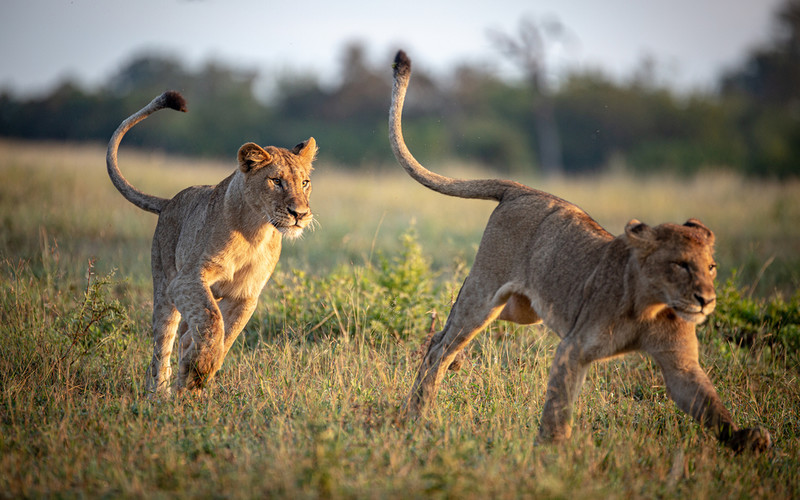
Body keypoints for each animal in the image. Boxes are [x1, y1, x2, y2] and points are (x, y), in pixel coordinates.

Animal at [105, 90, 316, 394]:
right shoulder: (188, 280)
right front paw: (200, 368)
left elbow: (227, 334)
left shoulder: (246, 294)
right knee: (163, 345)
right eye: (276, 181)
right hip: (165, 287)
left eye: (305, 183)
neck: (256, 231)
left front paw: (197, 372)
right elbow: (212, 321)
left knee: (185, 336)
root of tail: (169, 201)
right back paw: (159, 393)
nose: (299, 214)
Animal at [390, 50, 772, 454]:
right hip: (485, 294)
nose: (707, 300)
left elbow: (710, 405)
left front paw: (748, 439)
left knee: (447, 328)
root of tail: (521, 189)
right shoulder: (573, 349)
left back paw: (436, 371)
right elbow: (558, 411)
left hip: (521, 310)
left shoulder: (679, 364)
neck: (652, 305)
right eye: (681, 265)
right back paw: (416, 414)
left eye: (711, 267)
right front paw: (551, 457)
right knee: (443, 344)